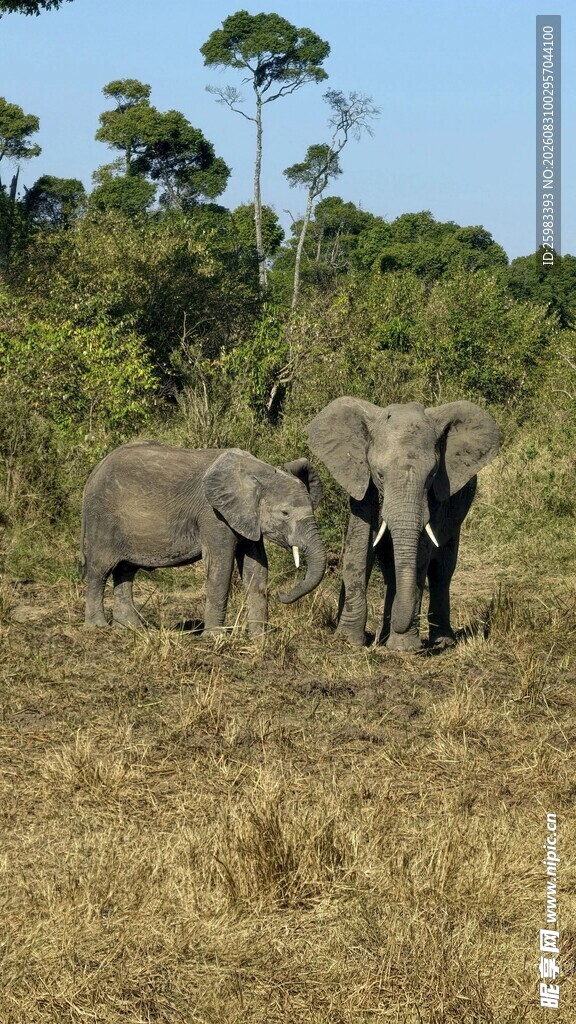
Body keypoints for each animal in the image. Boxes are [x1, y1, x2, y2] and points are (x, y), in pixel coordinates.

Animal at [79, 441, 326, 633]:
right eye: (285, 513)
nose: (282, 595)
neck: (257, 471)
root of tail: (94, 472)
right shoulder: (213, 514)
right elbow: (220, 565)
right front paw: (215, 637)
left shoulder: (246, 517)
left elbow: (256, 569)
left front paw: (258, 639)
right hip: (102, 517)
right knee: (100, 568)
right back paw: (98, 627)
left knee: (125, 570)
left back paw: (131, 628)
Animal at [307, 397, 500, 651]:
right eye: (379, 474)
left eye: (432, 475)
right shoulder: (362, 484)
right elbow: (358, 549)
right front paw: (348, 641)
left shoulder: (436, 497)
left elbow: (421, 557)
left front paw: (404, 648)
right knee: (391, 568)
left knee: (441, 571)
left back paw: (441, 642)